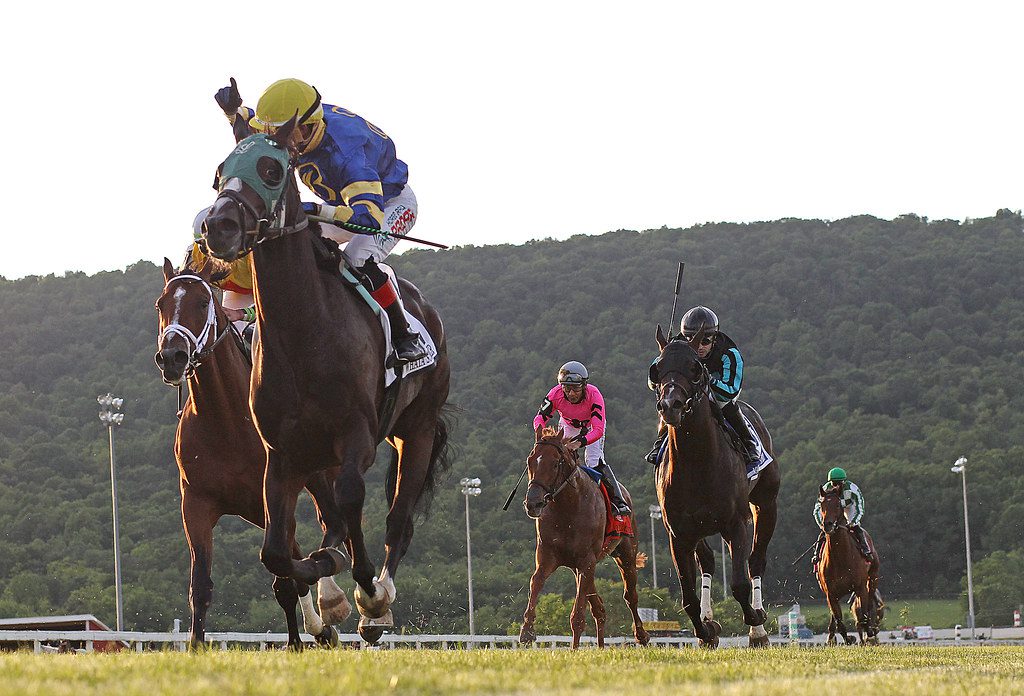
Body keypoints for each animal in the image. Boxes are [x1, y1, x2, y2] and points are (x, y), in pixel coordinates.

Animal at [153, 257, 354, 650]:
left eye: (203, 301)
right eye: (161, 304)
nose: (172, 356)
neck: (226, 420)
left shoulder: (274, 498)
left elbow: (285, 581)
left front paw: (295, 642)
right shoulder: (196, 504)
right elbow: (200, 586)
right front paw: (195, 645)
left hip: (323, 479)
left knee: (335, 528)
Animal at [201, 114, 450, 642]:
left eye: (272, 169)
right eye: (219, 173)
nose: (219, 226)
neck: (304, 334)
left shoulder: (356, 436)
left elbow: (353, 501)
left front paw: (364, 591)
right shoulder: (283, 454)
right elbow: (277, 552)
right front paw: (325, 585)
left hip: (416, 429)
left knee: (398, 521)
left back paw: (380, 601)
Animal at [520, 427, 647, 650]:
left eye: (555, 463)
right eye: (530, 461)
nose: (533, 503)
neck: (568, 508)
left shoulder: (587, 560)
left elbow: (578, 614)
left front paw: (574, 649)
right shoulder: (548, 557)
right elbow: (535, 582)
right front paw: (527, 631)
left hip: (625, 554)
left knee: (630, 596)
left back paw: (641, 636)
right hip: (578, 567)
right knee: (599, 608)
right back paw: (601, 647)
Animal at [651, 325, 778, 646]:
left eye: (695, 369)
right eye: (657, 369)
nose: (670, 406)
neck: (697, 462)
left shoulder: (736, 523)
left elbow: (739, 583)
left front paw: (755, 621)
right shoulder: (678, 533)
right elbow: (687, 597)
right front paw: (705, 630)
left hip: (766, 504)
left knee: (756, 561)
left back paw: (758, 628)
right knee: (707, 561)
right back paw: (709, 618)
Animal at [815, 481, 880, 642]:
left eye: (838, 505)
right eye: (822, 505)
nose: (828, 525)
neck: (840, 558)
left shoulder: (860, 587)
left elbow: (863, 615)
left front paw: (868, 630)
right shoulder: (830, 593)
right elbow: (839, 620)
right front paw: (848, 638)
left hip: (873, 577)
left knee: (870, 598)